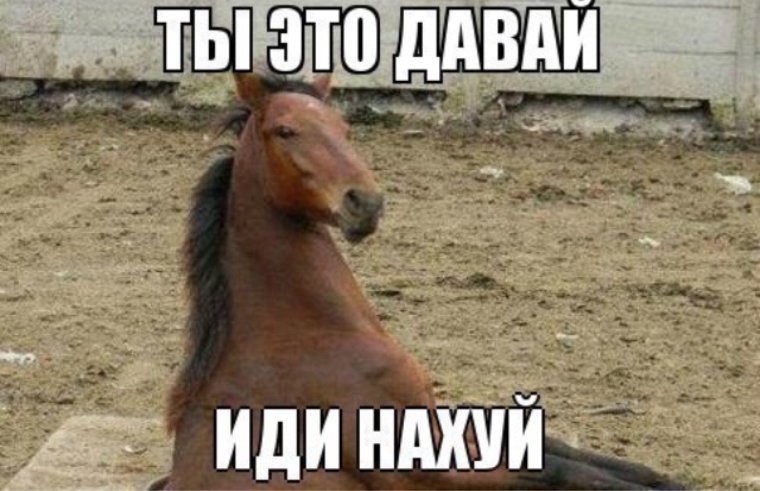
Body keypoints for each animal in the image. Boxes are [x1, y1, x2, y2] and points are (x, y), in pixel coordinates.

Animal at [160, 70, 683, 490]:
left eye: (344, 128)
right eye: (285, 130)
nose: (365, 202)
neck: (302, 335)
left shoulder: (436, 422)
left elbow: (568, 453)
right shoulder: (426, 466)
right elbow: (557, 471)